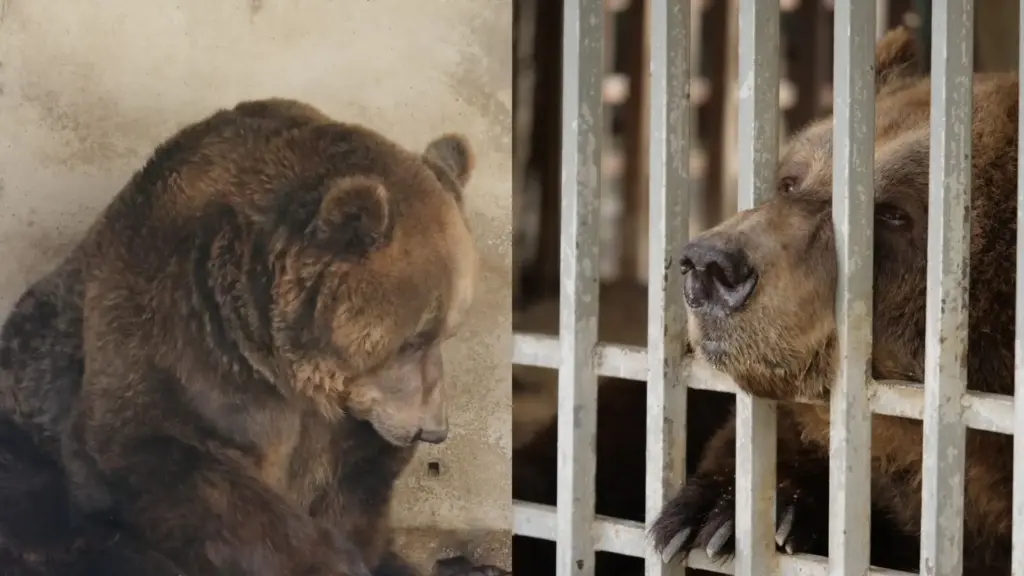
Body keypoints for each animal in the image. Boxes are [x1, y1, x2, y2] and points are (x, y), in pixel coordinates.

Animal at [0, 97, 509, 576]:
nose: (434, 430)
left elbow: (356, 485)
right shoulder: (183, 335)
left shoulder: (340, 428)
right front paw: (330, 561)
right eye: (412, 339)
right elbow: (155, 453)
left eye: (447, 332)